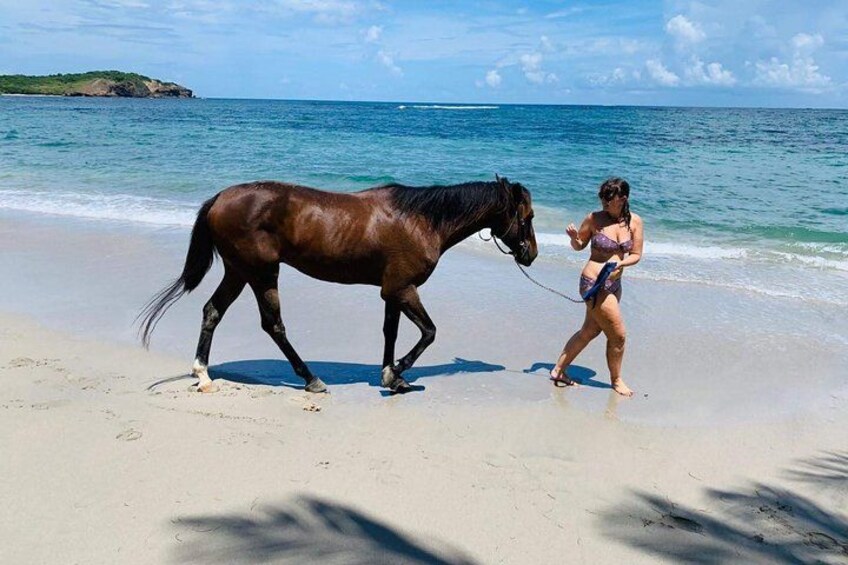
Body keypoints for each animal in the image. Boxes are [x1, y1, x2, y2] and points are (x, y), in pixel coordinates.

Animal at [139, 175, 538, 394]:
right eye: (529, 216)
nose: (531, 254)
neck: (420, 220)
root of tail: (220, 198)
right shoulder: (403, 289)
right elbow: (429, 332)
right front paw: (397, 373)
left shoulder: (392, 291)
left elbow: (390, 333)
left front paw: (391, 375)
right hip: (261, 272)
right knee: (273, 325)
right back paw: (310, 378)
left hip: (239, 272)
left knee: (213, 312)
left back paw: (203, 374)